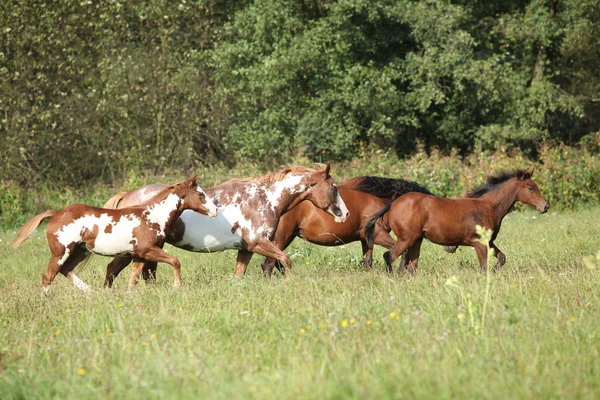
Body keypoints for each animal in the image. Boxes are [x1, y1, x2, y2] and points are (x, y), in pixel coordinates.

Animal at [12, 175, 218, 290]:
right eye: (200, 194)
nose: (215, 211)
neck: (152, 215)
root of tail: (55, 214)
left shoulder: (139, 255)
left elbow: (133, 277)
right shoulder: (147, 251)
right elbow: (175, 261)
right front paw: (177, 286)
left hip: (80, 251)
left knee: (65, 270)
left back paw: (89, 291)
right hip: (61, 252)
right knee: (48, 276)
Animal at [101, 161, 350, 286]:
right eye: (334, 188)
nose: (345, 214)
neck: (264, 199)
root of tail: (127, 195)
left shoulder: (246, 249)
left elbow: (239, 275)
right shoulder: (259, 243)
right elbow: (286, 261)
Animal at [260, 177, 434, 276]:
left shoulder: (366, 239)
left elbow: (368, 262)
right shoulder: (379, 235)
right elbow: (400, 252)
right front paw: (400, 271)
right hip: (282, 238)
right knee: (268, 265)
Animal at [364, 169, 552, 276]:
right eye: (530, 188)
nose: (545, 206)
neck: (488, 207)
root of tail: (393, 203)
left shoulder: (489, 242)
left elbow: (502, 258)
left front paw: (495, 272)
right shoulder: (478, 243)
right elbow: (483, 267)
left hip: (416, 240)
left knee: (411, 266)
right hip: (406, 239)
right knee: (389, 256)